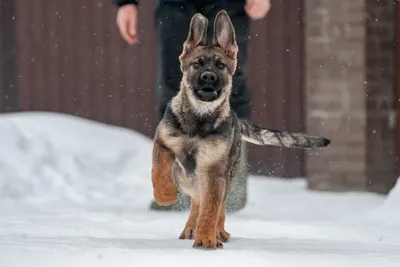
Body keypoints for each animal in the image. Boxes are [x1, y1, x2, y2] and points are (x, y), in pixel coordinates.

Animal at [152, 9, 330, 249]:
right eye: (197, 64)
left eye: (220, 66)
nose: (209, 77)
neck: (200, 118)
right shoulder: (163, 144)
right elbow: (159, 171)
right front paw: (165, 195)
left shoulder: (214, 171)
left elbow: (211, 208)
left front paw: (206, 238)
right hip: (187, 177)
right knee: (197, 199)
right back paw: (191, 226)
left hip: (221, 175)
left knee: (215, 205)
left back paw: (217, 232)